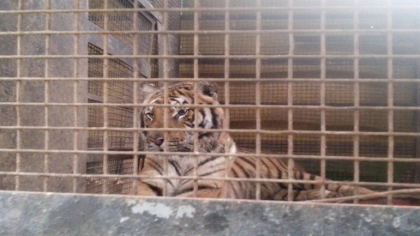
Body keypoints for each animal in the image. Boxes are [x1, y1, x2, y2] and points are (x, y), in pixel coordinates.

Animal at [135, 81, 378, 201]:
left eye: (182, 112)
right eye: (150, 115)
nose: (155, 140)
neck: (183, 158)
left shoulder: (205, 186)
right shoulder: (150, 183)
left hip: (293, 175)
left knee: (334, 184)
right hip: (284, 191)